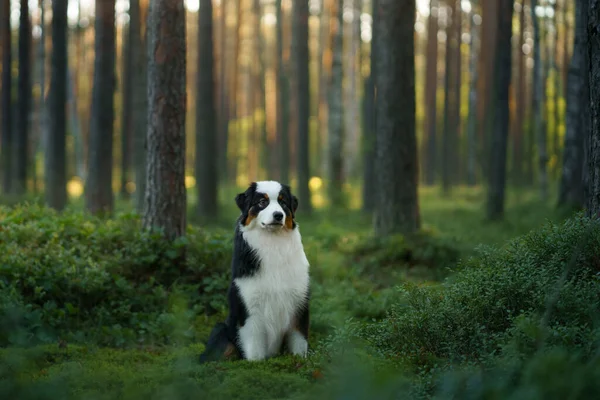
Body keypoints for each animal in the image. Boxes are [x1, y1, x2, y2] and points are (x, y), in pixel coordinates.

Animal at [200, 180, 312, 360]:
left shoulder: (299, 301)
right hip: (221, 330)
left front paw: (300, 361)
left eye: (283, 203)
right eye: (262, 202)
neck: (273, 243)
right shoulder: (250, 306)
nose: (278, 215)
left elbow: (299, 341)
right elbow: (254, 347)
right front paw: (256, 364)